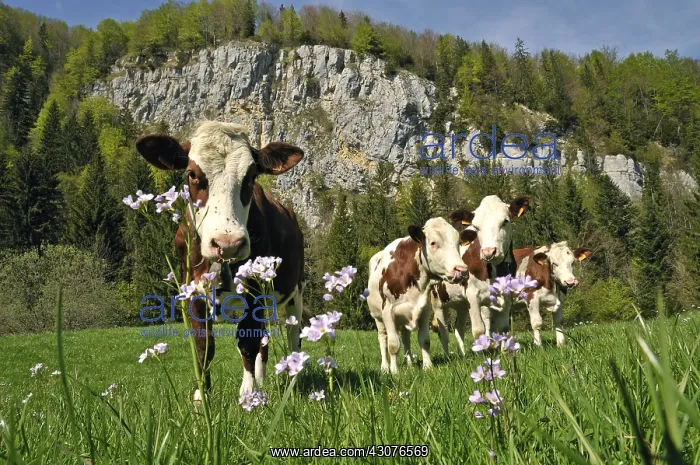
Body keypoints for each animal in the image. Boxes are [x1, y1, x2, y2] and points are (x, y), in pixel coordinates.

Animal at [136, 121, 305, 399]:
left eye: (251, 176)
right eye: (192, 174)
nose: (228, 244)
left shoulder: (255, 289)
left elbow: (247, 342)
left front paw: (248, 395)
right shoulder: (192, 289)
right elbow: (203, 346)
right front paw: (200, 397)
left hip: (295, 290)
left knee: (293, 336)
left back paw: (292, 380)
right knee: (265, 341)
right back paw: (262, 380)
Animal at [365, 217, 475, 374]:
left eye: (458, 242)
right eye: (433, 243)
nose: (462, 270)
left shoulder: (424, 310)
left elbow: (424, 340)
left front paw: (428, 366)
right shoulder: (388, 312)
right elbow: (393, 344)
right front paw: (395, 371)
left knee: (406, 338)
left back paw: (410, 364)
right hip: (378, 317)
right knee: (382, 339)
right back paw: (385, 367)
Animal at [429, 195, 531, 357]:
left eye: (505, 221)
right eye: (476, 227)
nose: (489, 251)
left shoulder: (506, 294)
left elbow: (503, 327)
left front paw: (505, 353)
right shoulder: (472, 295)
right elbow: (478, 330)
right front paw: (483, 354)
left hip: (461, 304)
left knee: (458, 328)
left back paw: (464, 355)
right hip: (438, 300)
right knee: (443, 331)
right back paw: (447, 357)